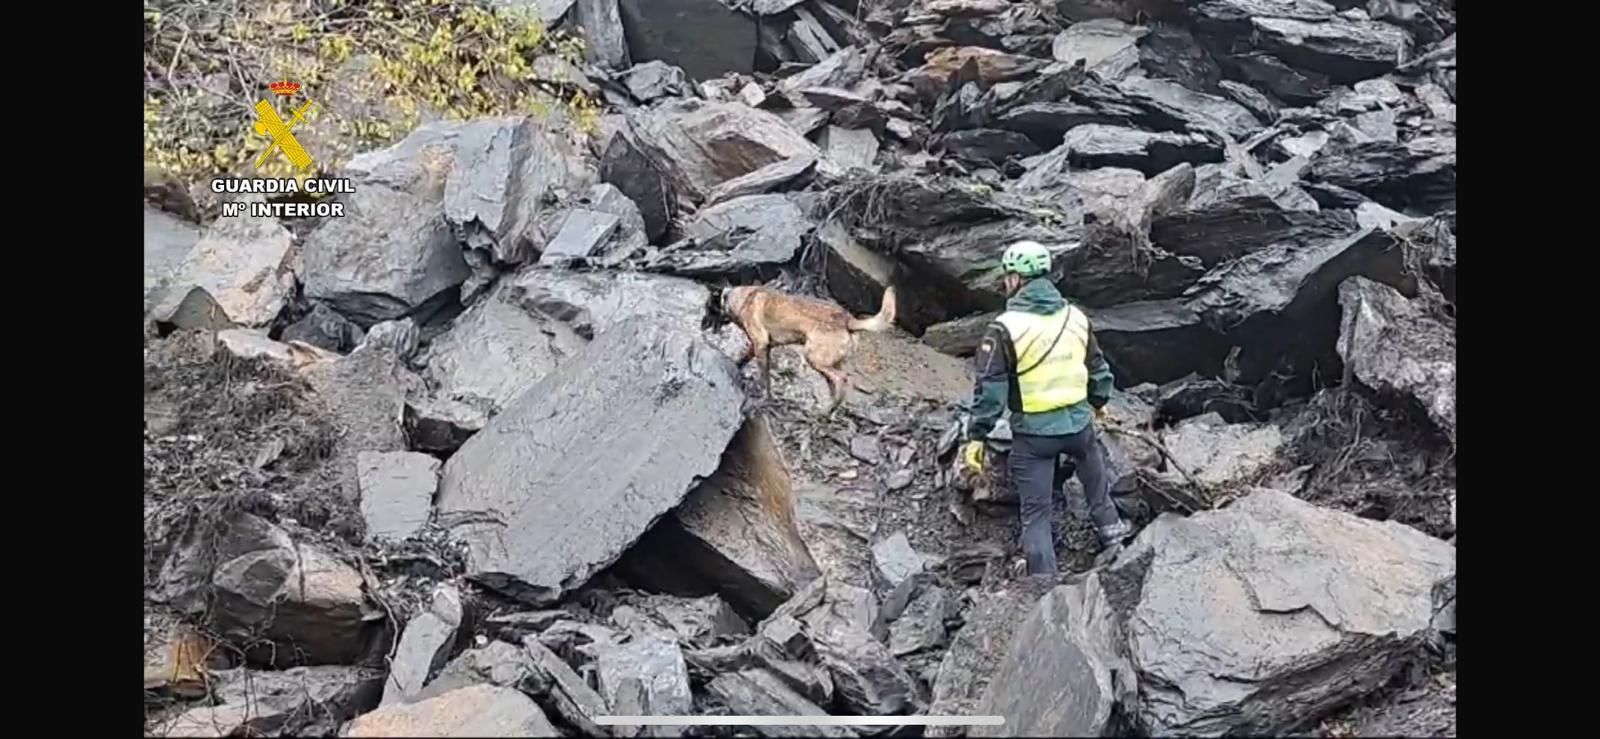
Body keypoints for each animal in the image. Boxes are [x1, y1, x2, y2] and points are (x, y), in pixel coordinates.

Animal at [720, 284, 896, 415]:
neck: (745, 298)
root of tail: (848, 319)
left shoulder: (760, 343)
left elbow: (763, 376)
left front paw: (762, 395)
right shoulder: (763, 347)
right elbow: (748, 360)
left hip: (814, 357)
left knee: (841, 379)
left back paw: (828, 409)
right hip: (829, 363)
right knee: (835, 384)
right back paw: (829, 409)